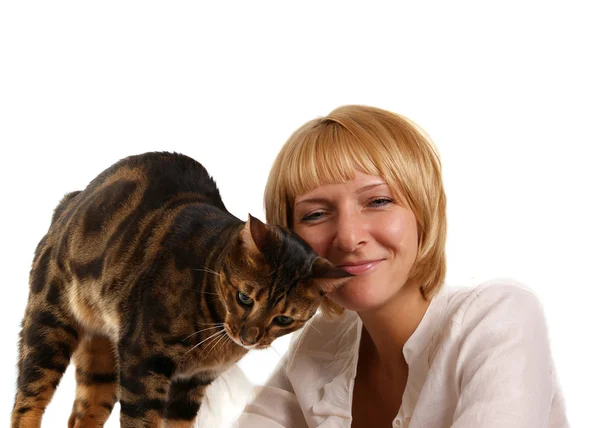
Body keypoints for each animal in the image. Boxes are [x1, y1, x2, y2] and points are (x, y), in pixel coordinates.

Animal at [11, 152, 352, 426]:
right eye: (244, 298)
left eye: (283, 319)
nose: (249, 338)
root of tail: (71, 200)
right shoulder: (143, 363)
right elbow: (142, 421)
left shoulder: (191, 386)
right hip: (49, 326)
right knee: (26, 402)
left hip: (102, 360)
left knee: (83, 413)